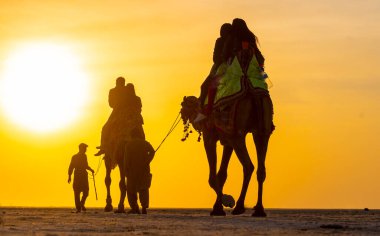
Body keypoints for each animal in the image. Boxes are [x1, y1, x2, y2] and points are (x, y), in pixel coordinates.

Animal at [181, 87, 274, 218]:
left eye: (183, 105)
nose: (182, 114)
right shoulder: (227, 141)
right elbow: (222, 174)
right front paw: (218, 208)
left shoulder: (209, 136)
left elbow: (212, 176)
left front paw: (225, 202)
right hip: (262, 131)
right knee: (261, 170)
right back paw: (259, 210)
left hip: (238, 135)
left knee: (248, 166)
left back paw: (239, 207)